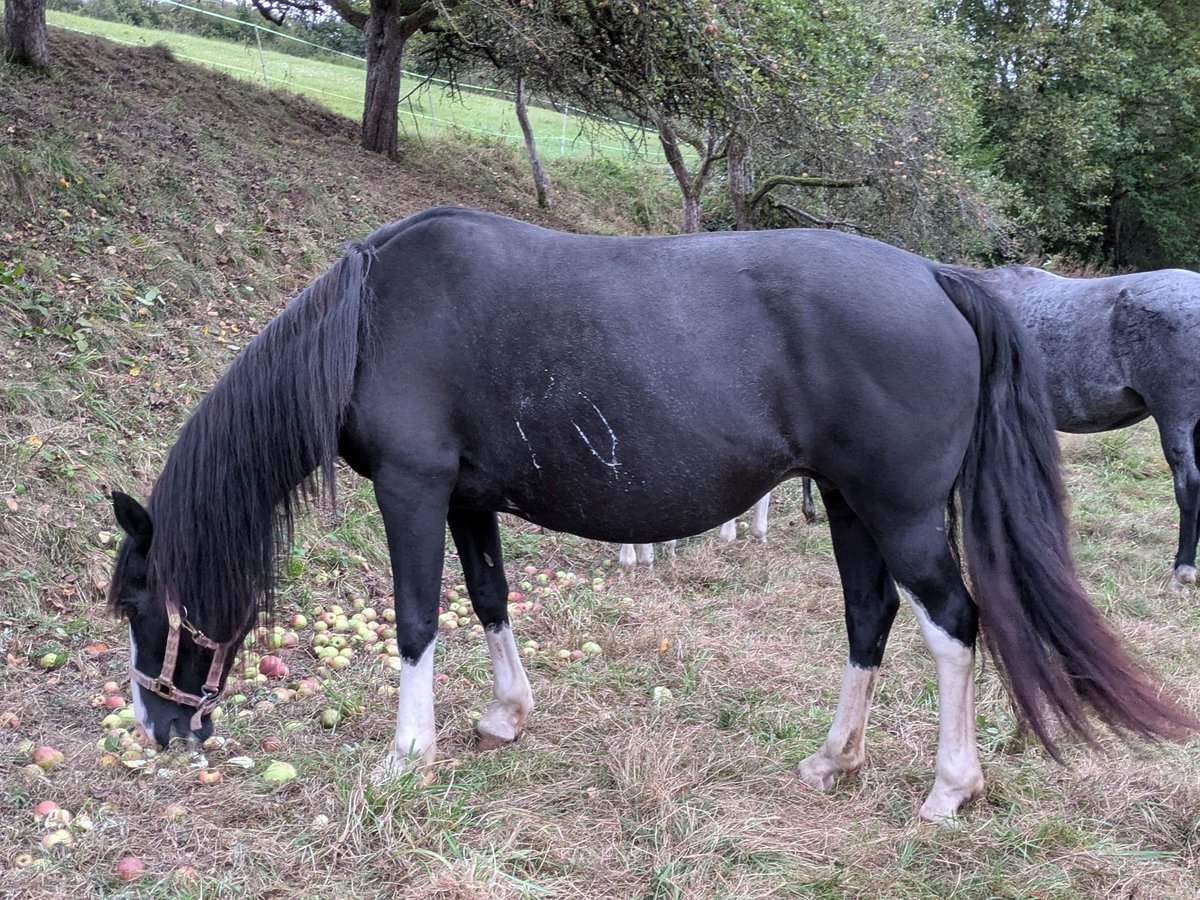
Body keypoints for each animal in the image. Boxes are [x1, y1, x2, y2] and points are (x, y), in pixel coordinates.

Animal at [108, 210, 1195, 825]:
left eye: (135, 601)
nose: (162, 730)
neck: (374, 319)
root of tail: (936, 276)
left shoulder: (413, 490)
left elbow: (417, 620)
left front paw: (405, 759)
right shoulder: (467, 499)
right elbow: (490, 599)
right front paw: (506, 715)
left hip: (902, 513)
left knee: (951, 628)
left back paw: (947, 790)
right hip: (851, 506)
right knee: (868, 619)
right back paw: (833, 760)